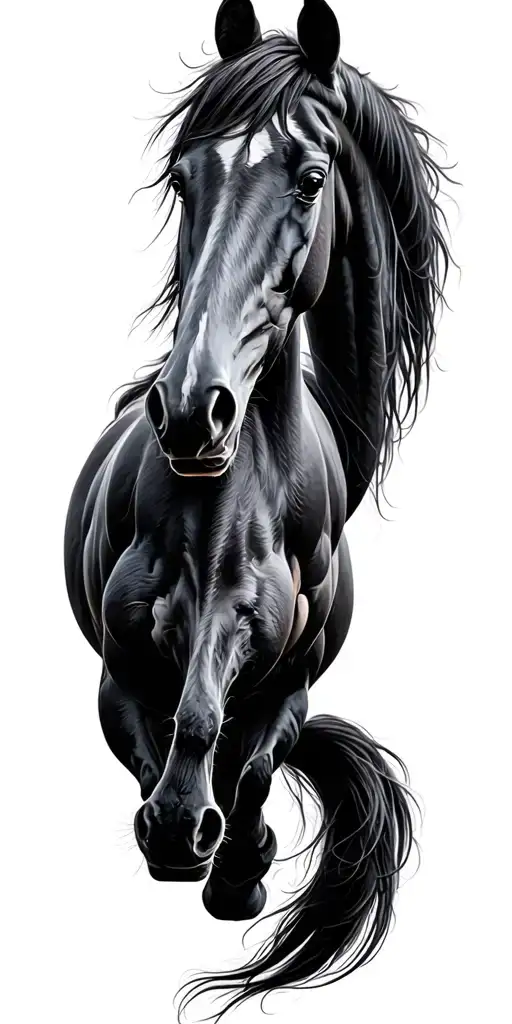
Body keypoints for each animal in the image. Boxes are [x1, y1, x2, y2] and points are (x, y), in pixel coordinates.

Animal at [64, 0, 451, 1018]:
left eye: (311, 177)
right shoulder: (121, 667)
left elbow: (245, 756)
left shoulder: (290, 681)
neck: (225, 511)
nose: (191, 408)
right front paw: (174, 825)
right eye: (183, 174)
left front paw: (236, 867)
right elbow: (174, 726)